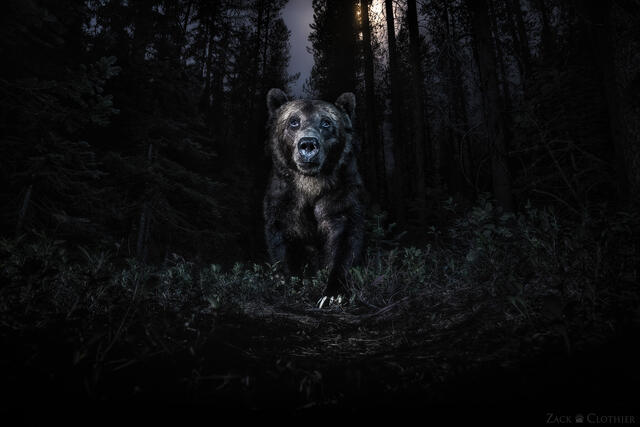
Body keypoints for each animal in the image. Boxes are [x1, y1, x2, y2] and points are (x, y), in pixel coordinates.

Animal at [263, 88, 365, 307]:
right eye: (293, 121)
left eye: (326, 122)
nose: (308, 144)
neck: (311, 184)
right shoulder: (283, 200)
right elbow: (282, 242)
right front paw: (288, 283)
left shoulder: (341, 195)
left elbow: (345, 242)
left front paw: (333, 294)